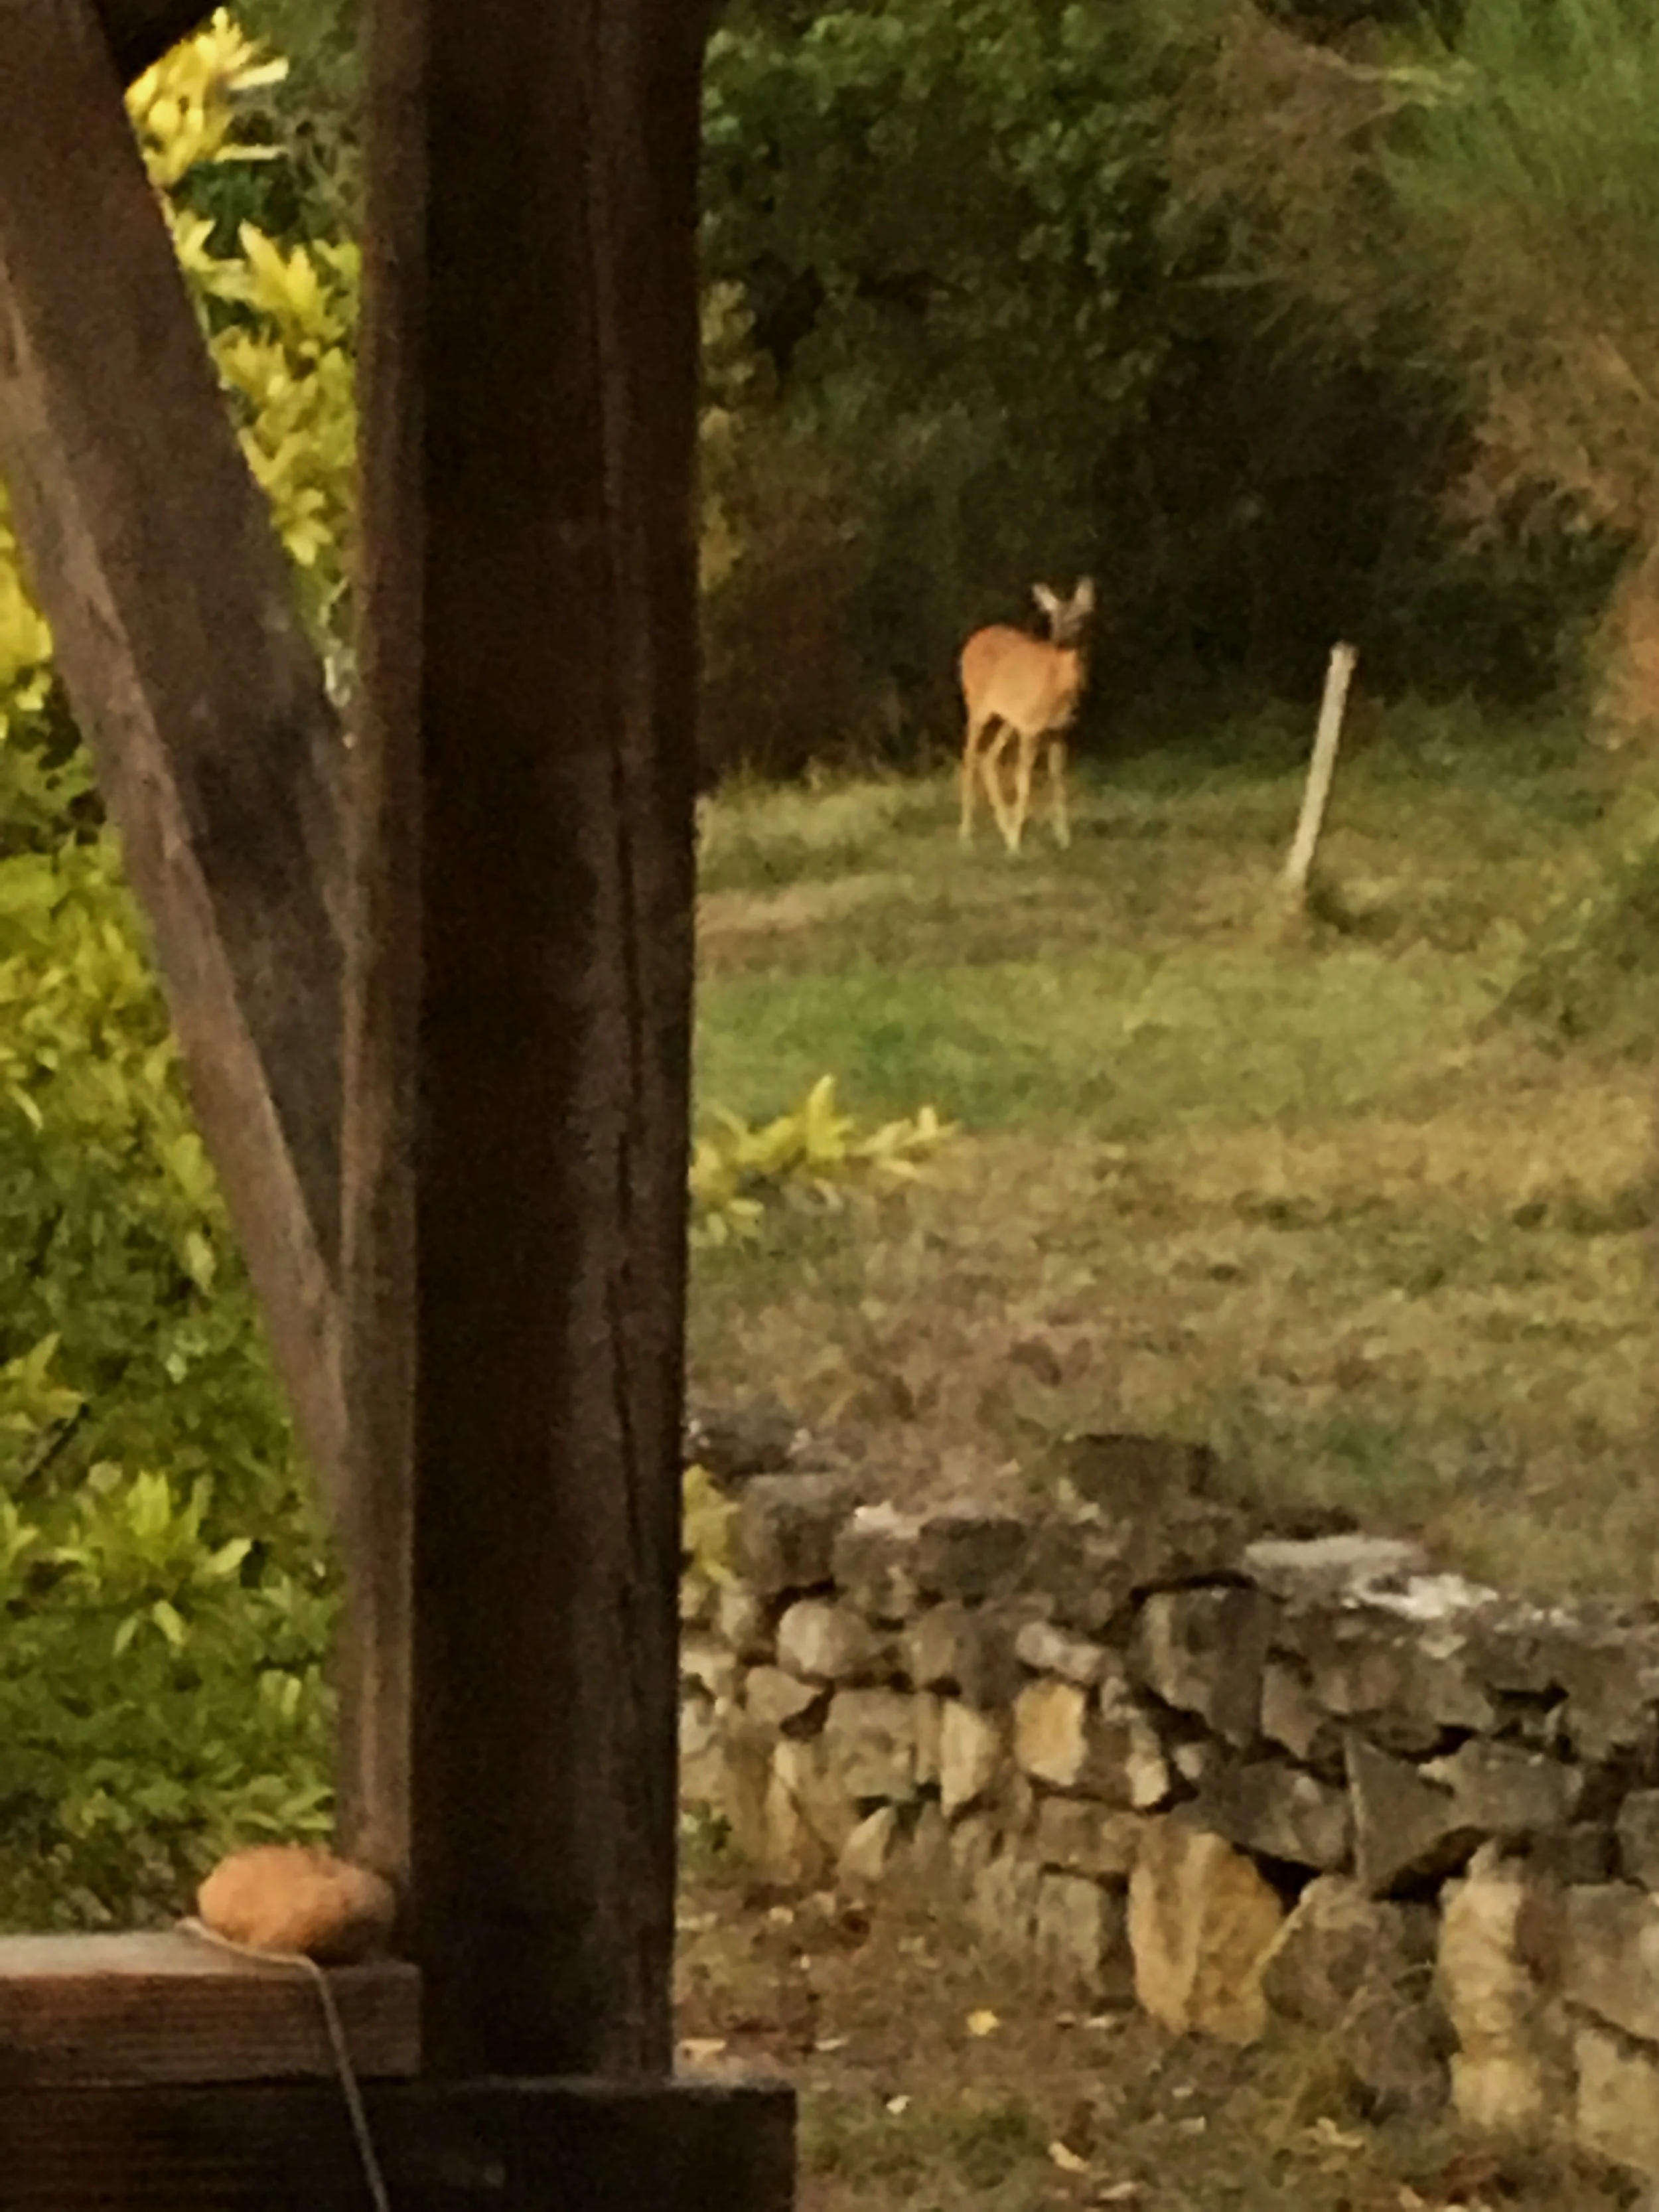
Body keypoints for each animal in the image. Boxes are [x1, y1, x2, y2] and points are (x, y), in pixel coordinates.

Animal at [958, 577, 1095, 856]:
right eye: (1053, 619)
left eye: (1079, 617)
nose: (1059, 642)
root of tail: (972, 642)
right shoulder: (1030, 728)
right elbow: (1023, 781)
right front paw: (1015, 845)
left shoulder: (1058, 730)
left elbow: (1058, 781)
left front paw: (1064, 839)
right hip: (977, 704)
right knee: (970, 758)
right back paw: (966, 836)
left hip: (1009, 717)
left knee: (987, 759)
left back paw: (1003, 825)